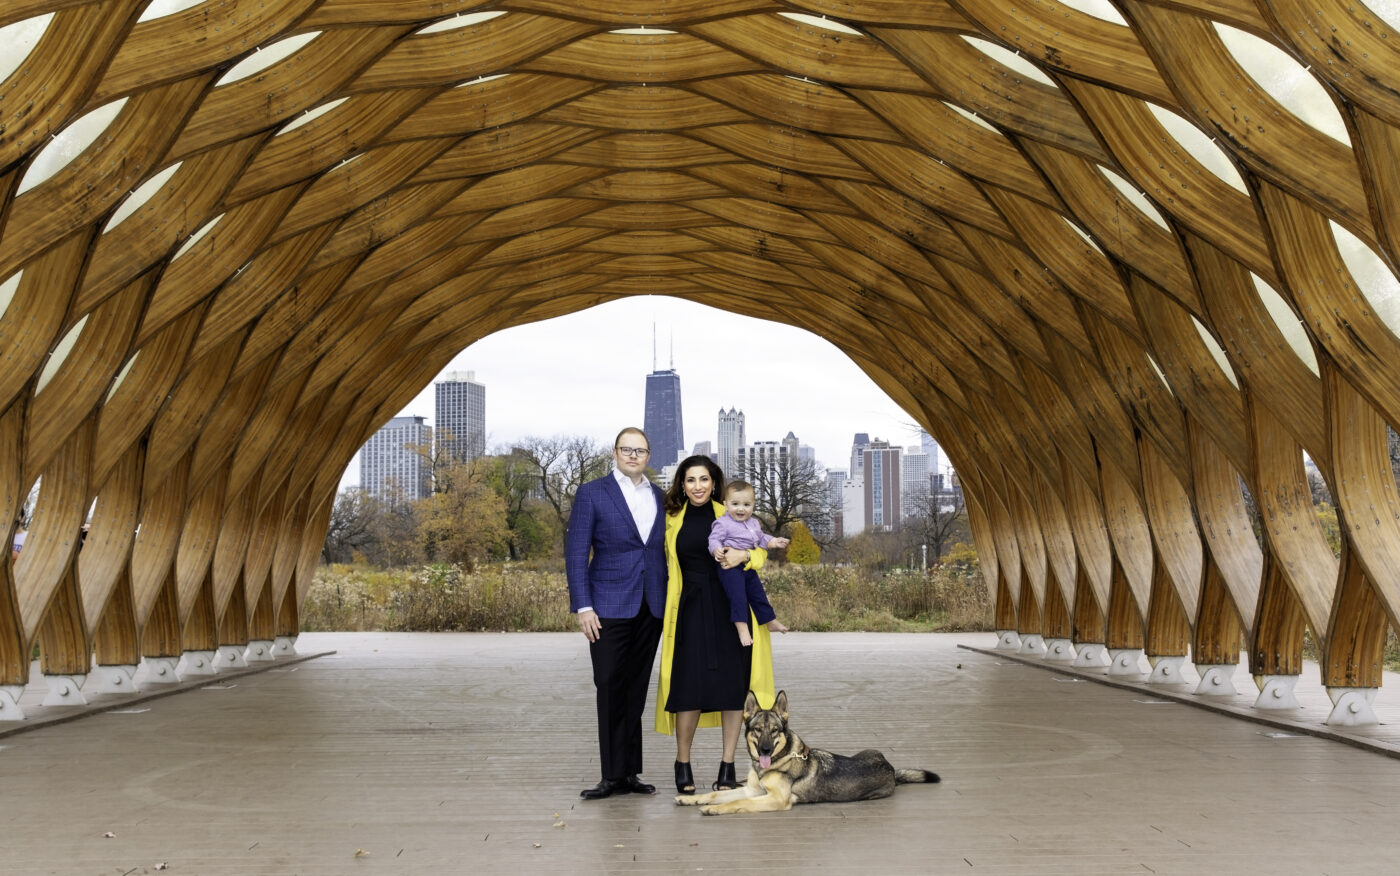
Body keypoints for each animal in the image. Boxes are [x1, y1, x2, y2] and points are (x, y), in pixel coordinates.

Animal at [677, 688, 940, 811]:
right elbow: (714, 794)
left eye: (775, 731)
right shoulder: (752, 790)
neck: (779, 760)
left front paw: (713, 810)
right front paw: (690, 799)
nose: (765, 751)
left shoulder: (775, 799)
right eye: (758, 730)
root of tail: (891, 768)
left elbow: (735, 803)